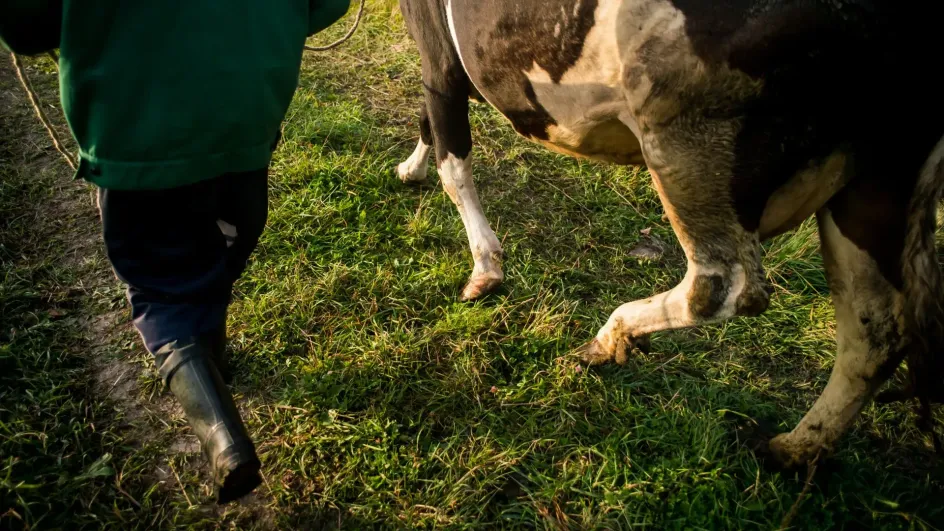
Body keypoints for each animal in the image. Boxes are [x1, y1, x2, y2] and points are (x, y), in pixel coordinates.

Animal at [394, 0, 944, 466]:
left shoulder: (439, 57)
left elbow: (452, 160)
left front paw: (484, 268)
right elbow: (429, 128)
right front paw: (410, 169)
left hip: (684, 133)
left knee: (724, 286)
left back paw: (611, 334)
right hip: (878, 178)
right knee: (874, 330)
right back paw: (792, 450)